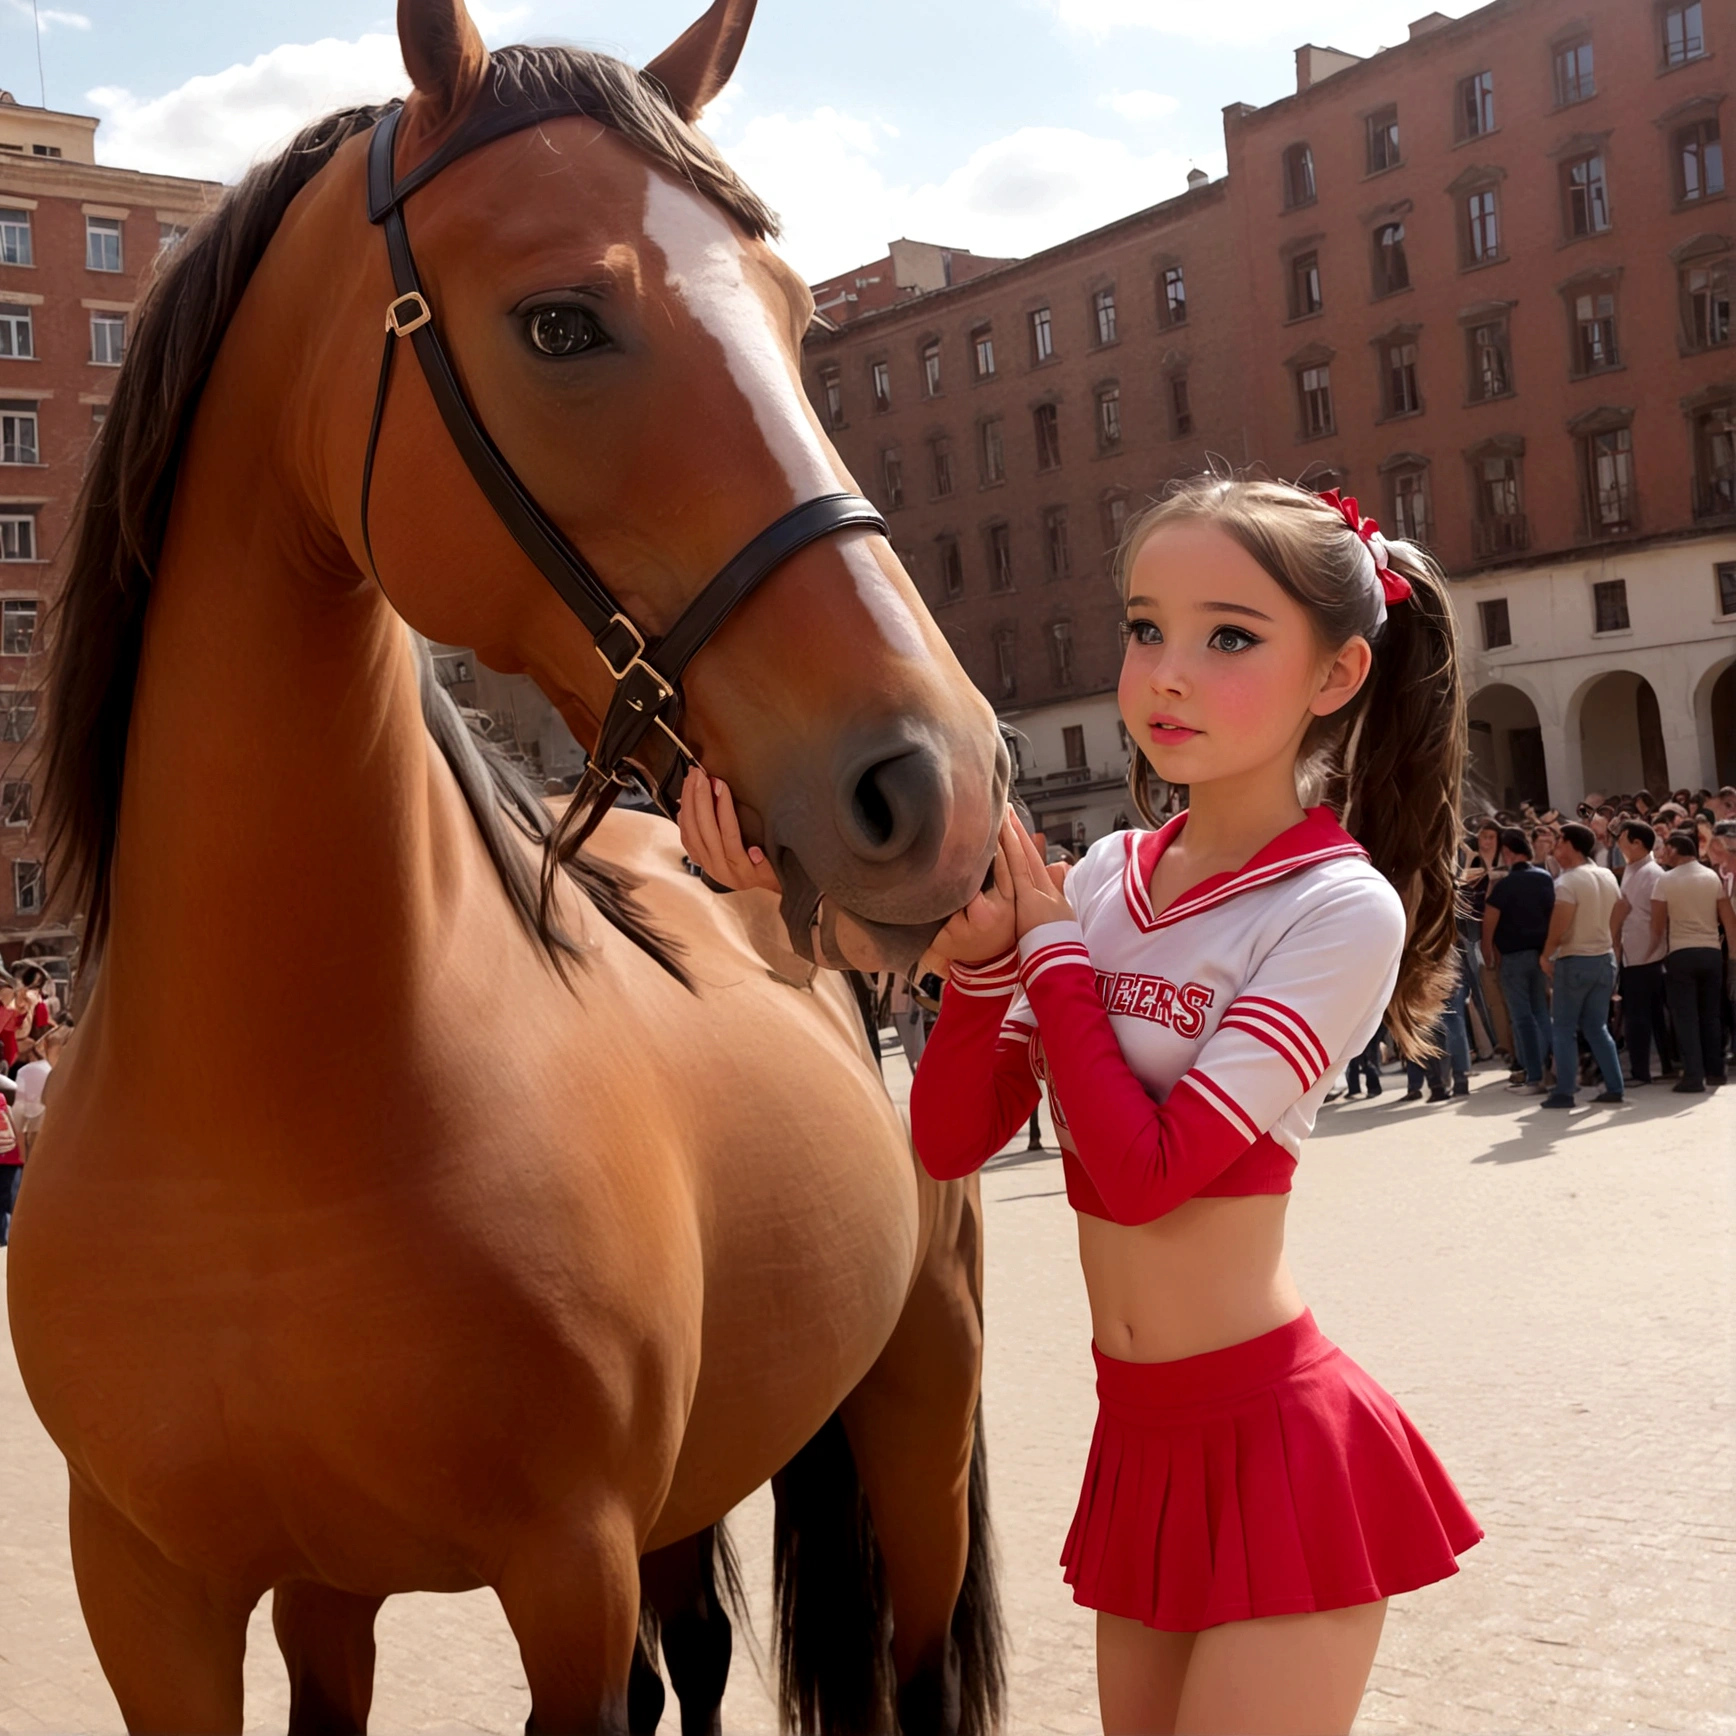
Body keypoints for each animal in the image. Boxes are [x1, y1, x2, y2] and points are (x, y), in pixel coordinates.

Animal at [13, 3, 1013, 1736]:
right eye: (560, 323)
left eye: (795, 318)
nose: (940, 778)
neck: (267, 1122)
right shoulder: (174, 1599)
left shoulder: (567, 1572)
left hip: (918, 1411)